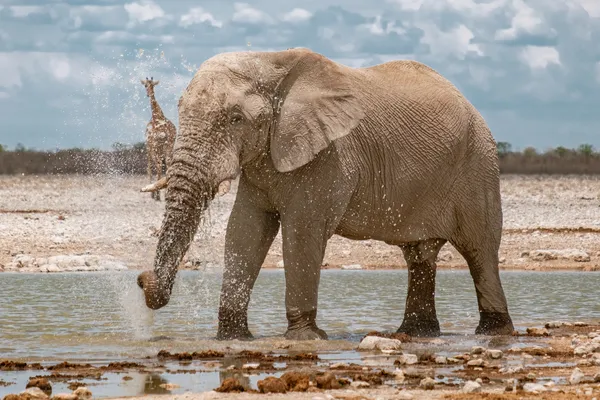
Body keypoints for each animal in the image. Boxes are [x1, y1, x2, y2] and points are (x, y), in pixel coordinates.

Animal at [137, 47, 516, 340]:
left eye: (235, 119)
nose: (142, 280)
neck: (269, 63)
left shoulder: (329, 154)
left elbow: (302, 231)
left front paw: (305, 337)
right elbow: (245, 230)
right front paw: (233, 337)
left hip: (478, 166)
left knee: (480, 250)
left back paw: (494, 332)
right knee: (420, 254)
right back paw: (417, 333)